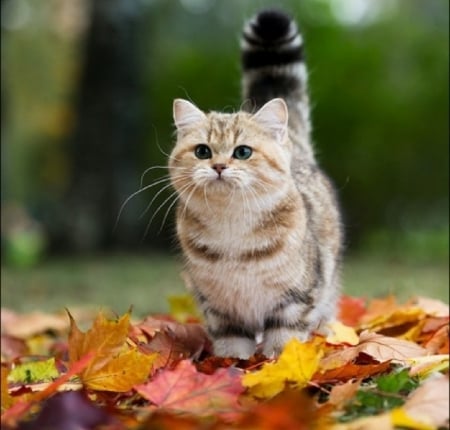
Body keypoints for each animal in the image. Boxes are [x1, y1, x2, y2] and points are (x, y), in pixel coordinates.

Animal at [168, 9, 342, 360]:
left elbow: (284, 341)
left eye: (243, 152)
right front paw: (231, 366)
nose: (219, 166)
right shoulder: (220, 310)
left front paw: (278, 365)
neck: (232, 228)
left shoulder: (296, 300)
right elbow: (232, 346)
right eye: (202, 151)